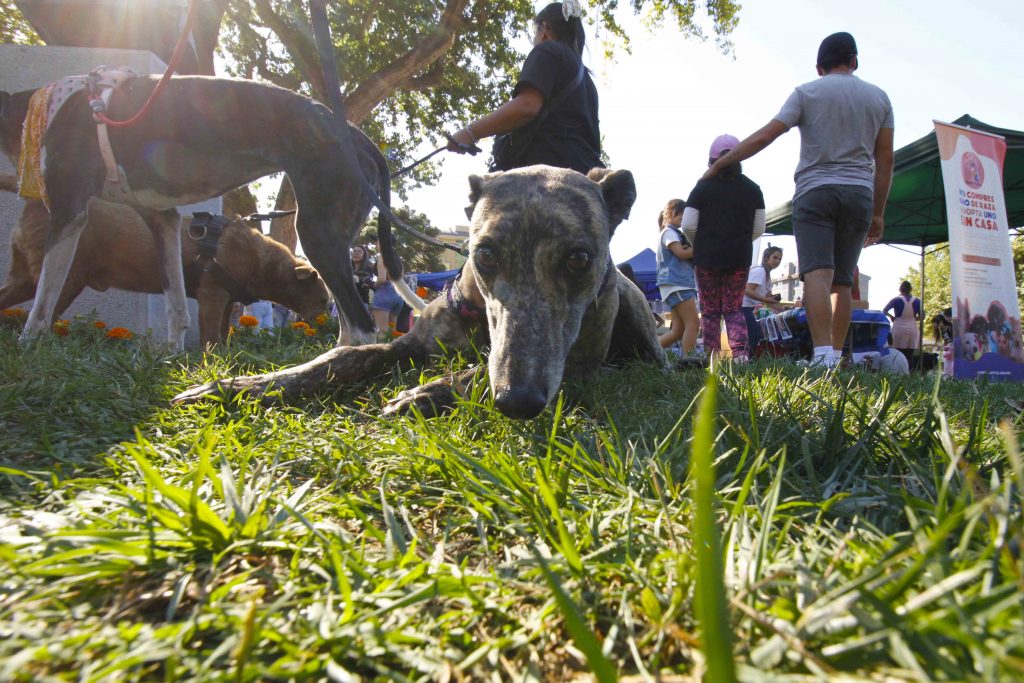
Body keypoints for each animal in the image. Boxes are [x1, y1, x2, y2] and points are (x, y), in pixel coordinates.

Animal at [0, 175, 327, 348]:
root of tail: (35, 197)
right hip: (66, 275)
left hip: (23, 276)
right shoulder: (212, 294)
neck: (260, 261)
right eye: (324, 299)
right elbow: (211, 334)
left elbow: (222, 332)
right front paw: (213, 358)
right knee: (44, 312)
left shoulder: (227, 300)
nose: (325, 319)